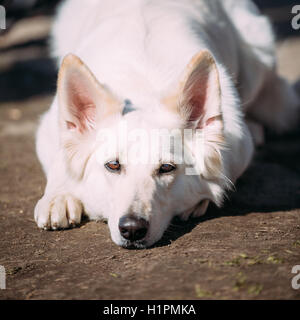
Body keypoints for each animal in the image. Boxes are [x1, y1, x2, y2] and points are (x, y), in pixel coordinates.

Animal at [34, 0, 298, 249]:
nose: (132, 229)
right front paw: (59, 195)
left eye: (167, 168)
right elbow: (59, 160)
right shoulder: (47, 132)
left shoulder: (239, 148)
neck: (141, 90)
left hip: (258, 58)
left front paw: (199, 201)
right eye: (113, 165)